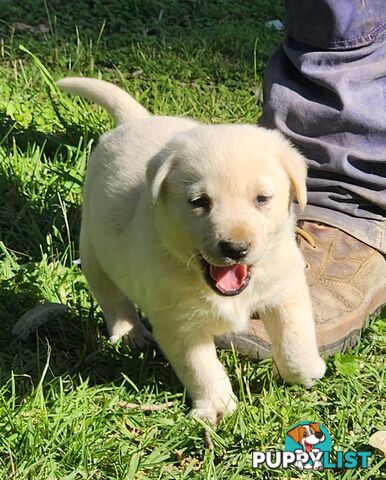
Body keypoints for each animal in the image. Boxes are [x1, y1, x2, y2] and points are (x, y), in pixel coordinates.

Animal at [56, 78, 326, 424]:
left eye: (262, 199)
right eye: (199, 202)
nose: (236, 248)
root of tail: (136, 121)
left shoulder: (285, 286)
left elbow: (296, 337)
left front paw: (306, 371)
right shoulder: (179, 323)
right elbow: (202, 369)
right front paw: (217, 406)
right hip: (94, 250)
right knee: (113, 298)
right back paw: (130, 333)